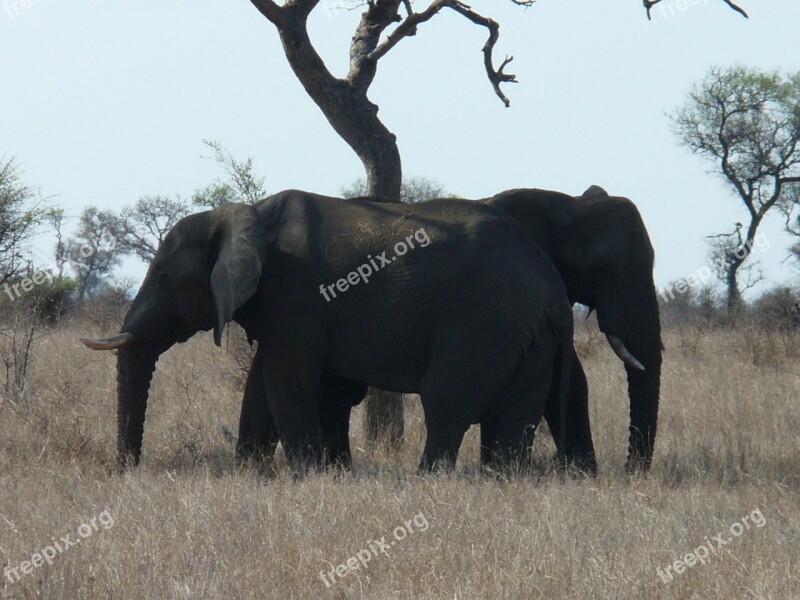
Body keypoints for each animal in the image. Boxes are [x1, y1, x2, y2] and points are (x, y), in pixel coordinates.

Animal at [83, 190, 576, 472]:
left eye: (164, 278)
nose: (127, 470)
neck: (244, 216)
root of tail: (554, 291)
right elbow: (260, 387)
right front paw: (251, 475)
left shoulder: (295, 295)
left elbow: (288, 382)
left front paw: (306, 476)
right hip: (528, 335)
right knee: (515, 419)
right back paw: (501, 480)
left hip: (483, 323)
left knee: (446, 403)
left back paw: (427, 480)